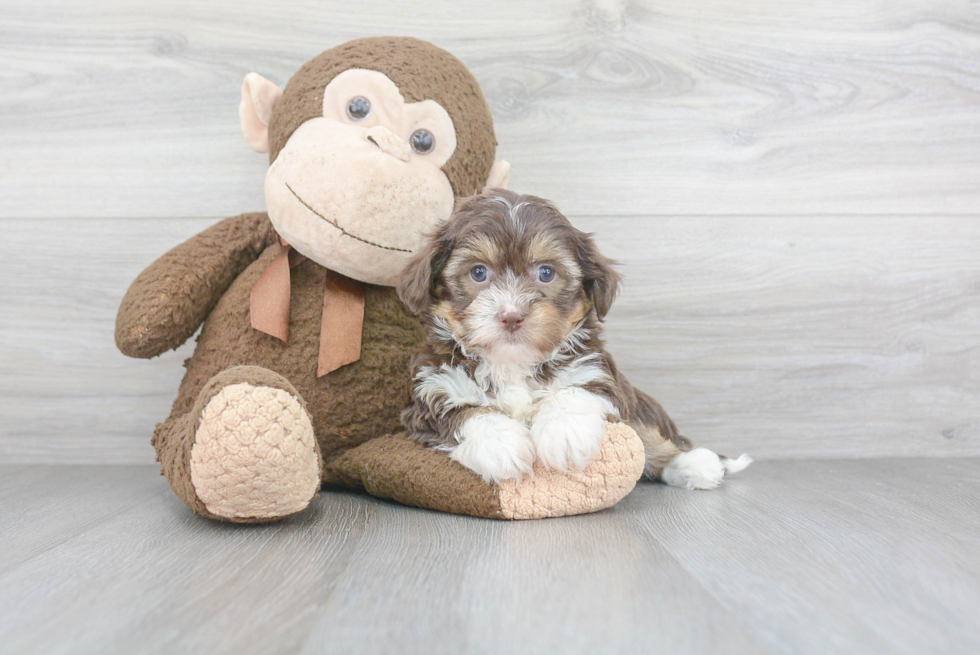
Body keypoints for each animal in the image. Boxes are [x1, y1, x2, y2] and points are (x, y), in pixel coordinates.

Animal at [396, 190, 752, 486]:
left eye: (546, 273)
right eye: (479, 272)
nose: (511, 316)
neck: (512, 363)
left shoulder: (596, 371)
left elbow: (573, 391)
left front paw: (564, 434)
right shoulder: (431, 394)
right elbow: (466, 413)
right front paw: (501, 445)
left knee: (648, 432)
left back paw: (695, 464)